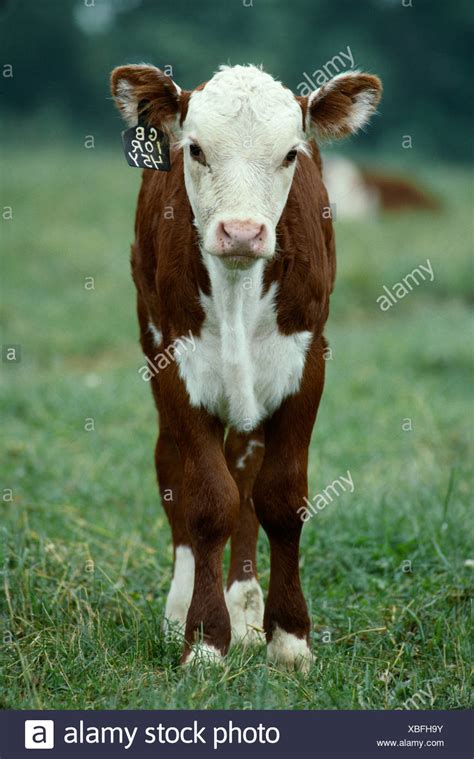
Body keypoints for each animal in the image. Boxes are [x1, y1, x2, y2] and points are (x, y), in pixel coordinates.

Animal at [110, 63, 382, 672]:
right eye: (194, 148)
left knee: (247, 471)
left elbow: (279, 498)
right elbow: (208, 500)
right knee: (174, 472)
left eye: (290, 153)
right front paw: (205, 640)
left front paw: (289, 638)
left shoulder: (307, 365)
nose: (240, 232)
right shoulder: (177, 366)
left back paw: (247, 609)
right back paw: (181, 608)